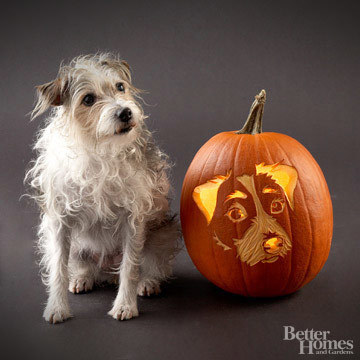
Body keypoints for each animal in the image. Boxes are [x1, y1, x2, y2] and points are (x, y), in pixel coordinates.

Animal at [24, 52, 179, 324]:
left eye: (120, 87)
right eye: (88, 99)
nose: (125, 112)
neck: (98, 148)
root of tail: (107, 272)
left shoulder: (133, 219)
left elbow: (130, 266)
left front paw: (125, 305)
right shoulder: (59, 221)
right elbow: (58, 269)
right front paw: (57, 307)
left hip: (162, 234)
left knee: (151, 265)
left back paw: (148, 283)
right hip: (77, 246)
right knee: (82, 264)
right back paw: (82, 277)